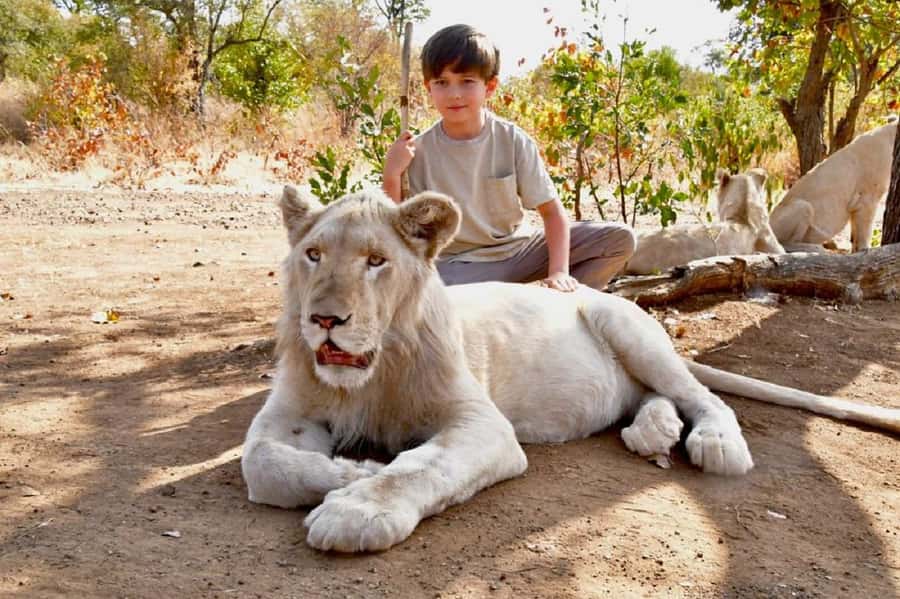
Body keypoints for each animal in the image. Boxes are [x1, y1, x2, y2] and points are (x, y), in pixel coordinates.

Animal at [241, 187, 900, 553]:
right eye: (313, 255)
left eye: (376, 261)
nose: (325, 319)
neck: (371, 374)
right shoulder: (290, 412)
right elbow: (263, 463)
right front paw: (348, 470)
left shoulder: (483, 425)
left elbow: (418, 467)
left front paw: (356, 508)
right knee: (654, 399)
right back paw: (652, 433)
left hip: (626, 326)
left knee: (702, 396)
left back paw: (713, 444)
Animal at [768, 120, 897, 252]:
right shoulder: (867, 198)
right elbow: (865, 230)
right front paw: (865, 249)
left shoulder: (855, 205)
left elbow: (855, 233)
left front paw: (855, 251)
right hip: (803, 206)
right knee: (784, 244)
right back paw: (816, 248)